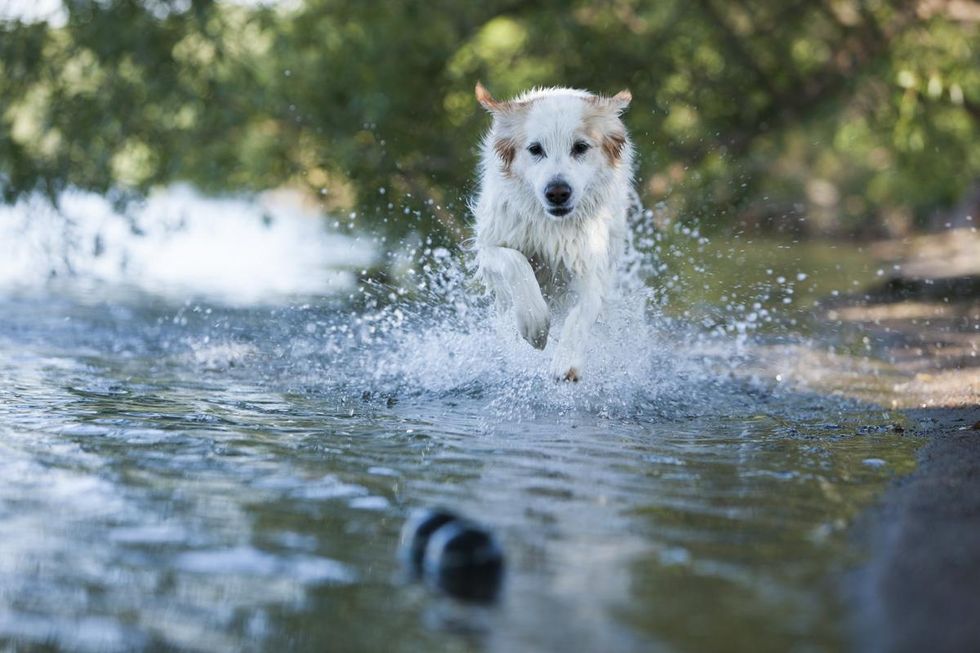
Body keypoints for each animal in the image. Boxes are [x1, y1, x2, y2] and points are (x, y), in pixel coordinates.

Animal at [468, 82, 636, 380]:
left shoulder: (588, 259)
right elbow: (516, 262)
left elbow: (586, 306)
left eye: (580, 147)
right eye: (535, 149)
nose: (557, 192)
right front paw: (534, 325)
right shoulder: (489, 248)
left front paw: (566, 360)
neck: (551, 228)